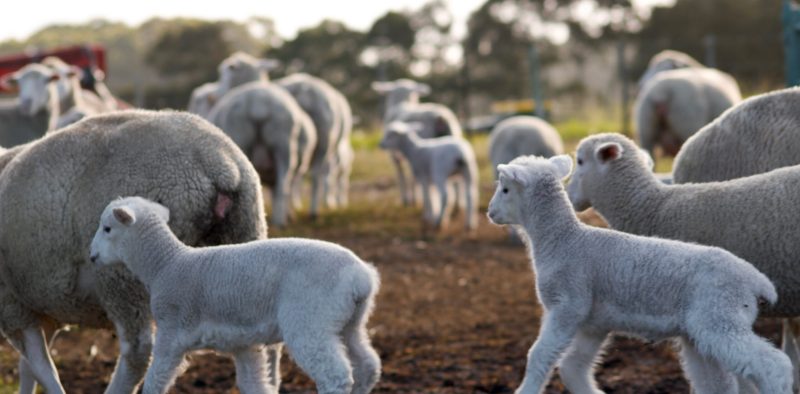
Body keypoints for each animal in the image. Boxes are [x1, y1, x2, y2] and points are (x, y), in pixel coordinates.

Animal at [0, 110, 270, 394]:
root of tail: (219, 163)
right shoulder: (42, 305)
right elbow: (29, 368)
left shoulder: (11, 304)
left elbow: (41, 364)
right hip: (245, 236)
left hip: (122, 280)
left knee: (137, 352)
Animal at [87, 197, 382, 394]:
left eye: (107, 228)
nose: (91, 256)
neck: (165, 264)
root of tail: (361, 277)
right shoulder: (243, 342)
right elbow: (253, 384)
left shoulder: (171, 332)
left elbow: (155, 381)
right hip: (348, 322)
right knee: (368, 365)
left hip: (311, 319)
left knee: (335, 376)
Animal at [484, 154, 792, 394]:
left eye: (505, 189)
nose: (489, 212)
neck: (563, 240)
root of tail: (756, 280)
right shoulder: (593, 322)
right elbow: (573, 367)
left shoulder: (567, 304)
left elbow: (538, 356)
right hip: (704, 332)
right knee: (722, 382)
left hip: (718, 317)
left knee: (774, 364)